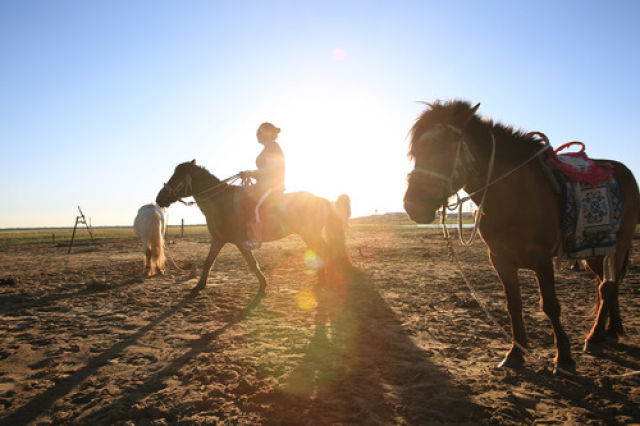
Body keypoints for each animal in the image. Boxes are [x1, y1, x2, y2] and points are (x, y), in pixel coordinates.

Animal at [155, 160, 352, 296]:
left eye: (177, 177)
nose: (159, 198)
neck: (220, 202)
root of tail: (324, 200)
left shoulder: (240, 242)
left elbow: (252, 262)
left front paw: (263, 286)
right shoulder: (218, 239)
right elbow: (208, 262)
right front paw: (198, 286)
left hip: (309, 233)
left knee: (324, 251)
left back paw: (324, 282)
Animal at [403, 100, 640, 374]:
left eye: (444, 150)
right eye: (416, 152)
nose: (413, 206)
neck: (513, 194)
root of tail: (622, 170)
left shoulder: (542, 259)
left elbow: (550, 306)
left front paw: (564, 359)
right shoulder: (500, 259)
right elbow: (513, 305)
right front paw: (515, 354)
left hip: (619, 245)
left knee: (608, 286)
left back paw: (595, 337)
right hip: (595, 251)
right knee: (606, 286)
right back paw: (608, 332)